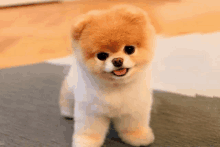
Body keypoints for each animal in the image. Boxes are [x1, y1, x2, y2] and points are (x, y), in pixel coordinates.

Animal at [59, 4, 156, 147]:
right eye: (102, 56)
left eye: (129, 49)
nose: (117, 60)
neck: (116, 86)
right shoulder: (91, 111)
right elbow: (90, 130)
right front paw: (87, 141)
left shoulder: (134, 108)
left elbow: (133, 125)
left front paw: (138, 136)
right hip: (70, 89)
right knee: (66, 99)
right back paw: (67, 112)